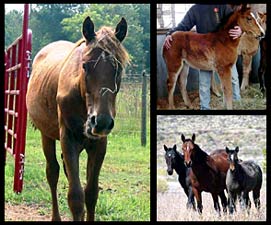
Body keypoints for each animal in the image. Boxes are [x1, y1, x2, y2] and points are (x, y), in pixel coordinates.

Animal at [26, 16, 130, 221]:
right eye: (85, 65)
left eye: (118, 68)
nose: (101, 121)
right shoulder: (68, 139)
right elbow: (75, 196)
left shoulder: (99, 144)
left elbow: (91, 193)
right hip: (46, 136)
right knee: (53, 172)